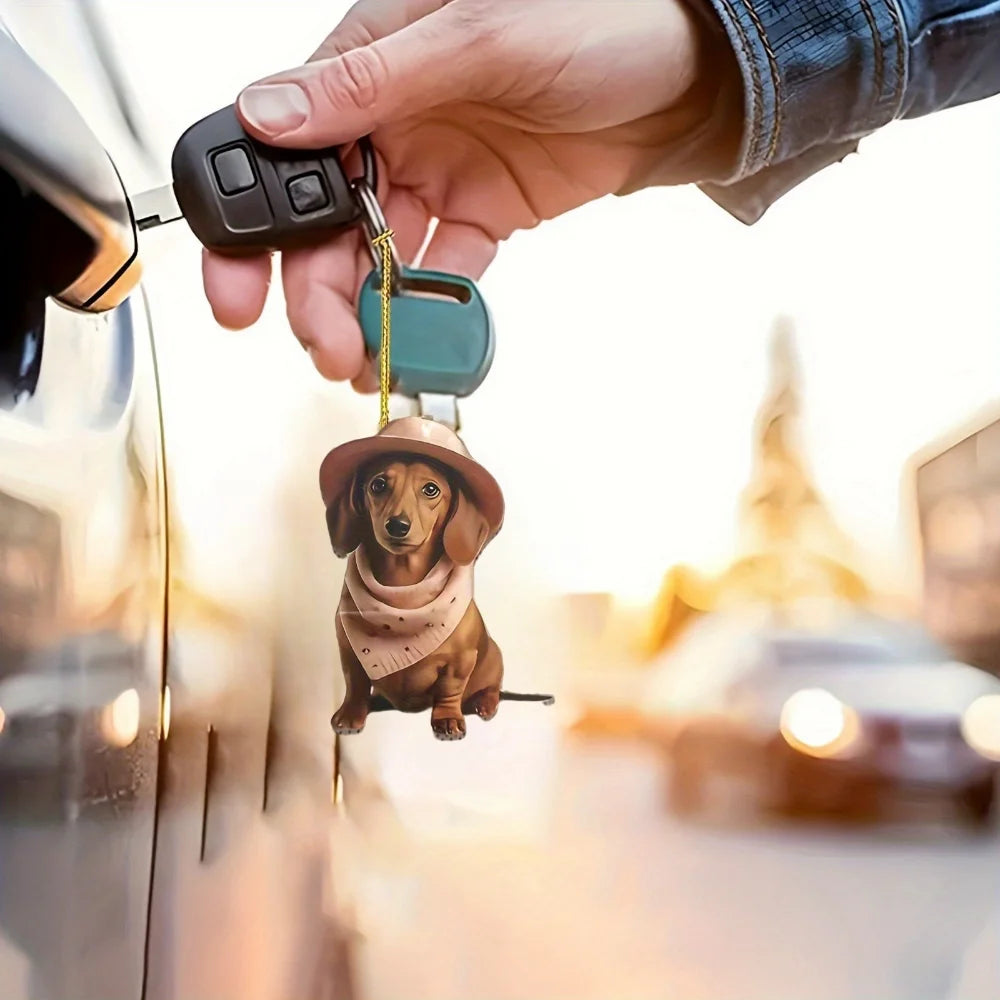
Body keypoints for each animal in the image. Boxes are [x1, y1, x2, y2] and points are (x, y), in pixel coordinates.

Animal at [324, 440, 504, 744]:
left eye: (430, 489)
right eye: (378, 485)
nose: (397, 525)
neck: (403, 589)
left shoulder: (461, 660)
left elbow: (449, 689)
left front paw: (447, 719)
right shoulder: (349, 652)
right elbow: (355, 684)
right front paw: (350, 715)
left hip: (493, 659)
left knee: (492, 689)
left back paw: (485, 704)